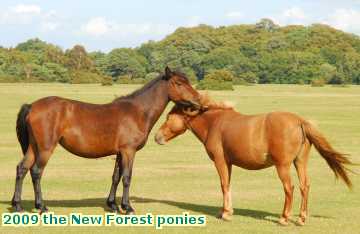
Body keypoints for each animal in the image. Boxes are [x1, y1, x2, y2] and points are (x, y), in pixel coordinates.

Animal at [12, 66, 201, 215]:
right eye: (179, 83)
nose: (198, 100)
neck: (137, 112)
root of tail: (32, 106)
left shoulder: (119, 153)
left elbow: (116, 177)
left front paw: (113, 205)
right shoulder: (128, 151)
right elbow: (127, 177)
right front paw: (128, 207)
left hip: (33, 147)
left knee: (22, 169)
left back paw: (18, 206)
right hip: (45, 148)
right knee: (36, 172)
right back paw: (41, 206)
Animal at [155, 94, 352, 226]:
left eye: (168, 117)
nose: (157, 137)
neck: (215, 123)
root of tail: (299, 121)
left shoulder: (220, 161)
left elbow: (223, 185)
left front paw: (226, 214)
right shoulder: (228, 163)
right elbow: (228, 184)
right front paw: (227, 211)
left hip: (283, 166)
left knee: (289, 188)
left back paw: (284, 218)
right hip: (300, 163)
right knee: (305, 186)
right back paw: (302, 218)